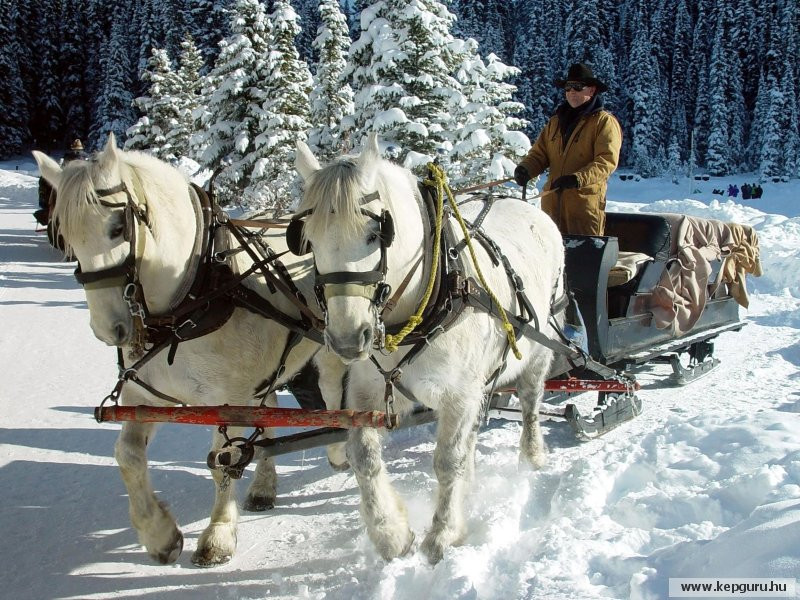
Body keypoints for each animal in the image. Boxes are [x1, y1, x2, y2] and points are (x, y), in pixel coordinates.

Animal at [32, 135, 346, 568]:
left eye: (118, 227)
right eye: (65, 235)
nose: (108, 329)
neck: (194, 298)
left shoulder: (228, 401)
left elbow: (223, 462)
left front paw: (218, 536)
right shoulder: (144, 396)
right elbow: (127, 456)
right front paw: (160, 535)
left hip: (329, 353)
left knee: (332, 398)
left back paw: (338, 449)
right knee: (269, 414)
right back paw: (264, 487)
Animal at [296, 135, 564, 564]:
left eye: (376, 234)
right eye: (309, 239)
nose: (347, 340)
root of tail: (524, 204)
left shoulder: (458, 393)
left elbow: (446, 460)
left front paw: (443, 534)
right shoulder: (368, 390)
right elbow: (363, 455)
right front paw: (390, 534)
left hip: (538, 350)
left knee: (530, 401)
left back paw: (532, 454)